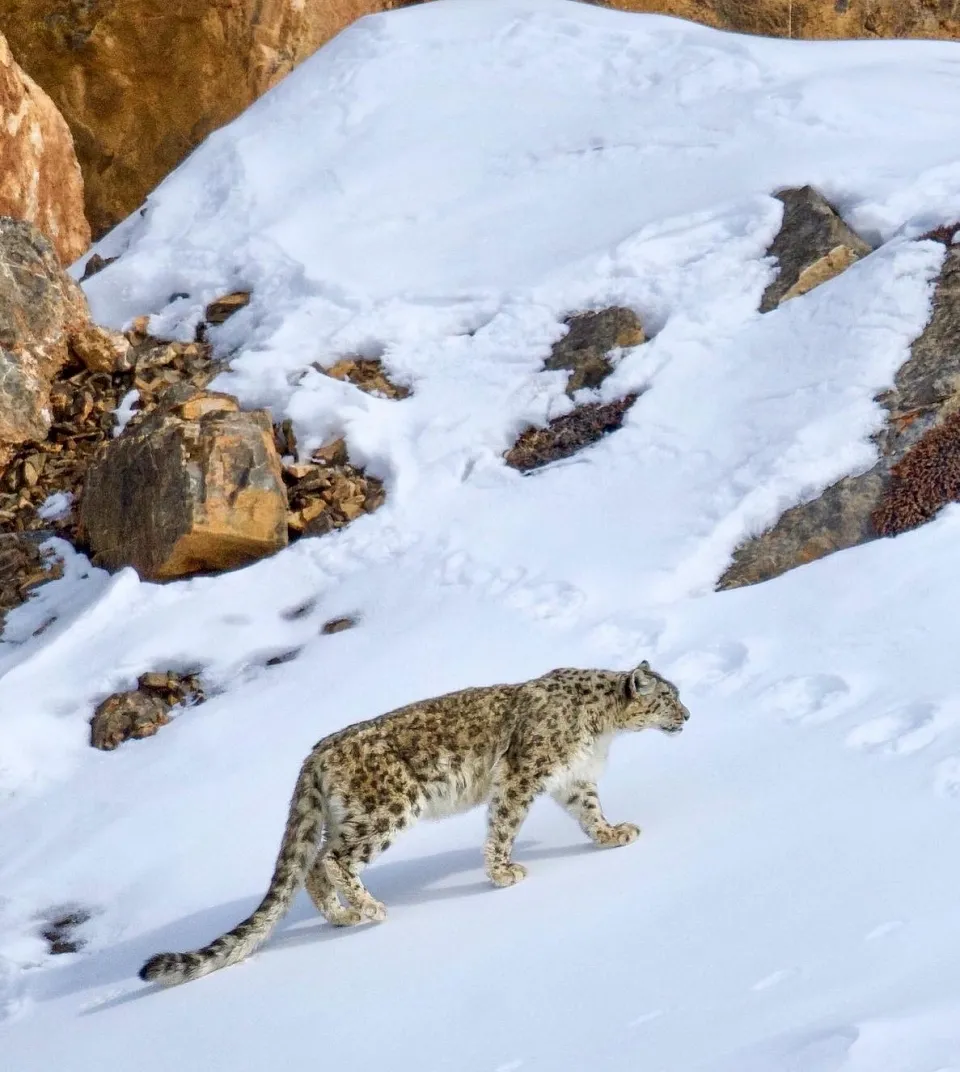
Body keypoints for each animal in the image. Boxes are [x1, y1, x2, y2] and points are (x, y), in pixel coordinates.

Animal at [140, 660, 689, 986]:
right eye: (669, 698)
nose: (687, 714)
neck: (602, 728)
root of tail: (315, 753)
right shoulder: (521, 775)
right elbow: (504, 825)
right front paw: (503, 873)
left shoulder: (574, 781)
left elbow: (591, 813)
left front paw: (613, 835)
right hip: (389, 809)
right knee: (334, 859)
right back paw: (370, 909)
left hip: (347, 817)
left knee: (312, 863)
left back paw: (341, 917)